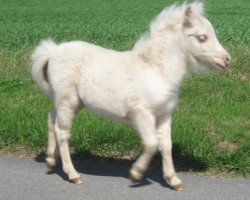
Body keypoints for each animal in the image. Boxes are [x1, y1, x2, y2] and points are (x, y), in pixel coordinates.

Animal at [31, 1, 230, 192]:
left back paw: (50, 162)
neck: (156, 70)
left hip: (69, 102)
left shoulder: (164, 115)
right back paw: (73, 175)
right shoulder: (141, 114)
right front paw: (136, 174)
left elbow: (166, 146)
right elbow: (151, 144)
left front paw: (174, 181)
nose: (227, 60)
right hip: (68, 101)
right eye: (202, 37)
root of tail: (53, 51)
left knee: (51, 119)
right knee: (62, 132)